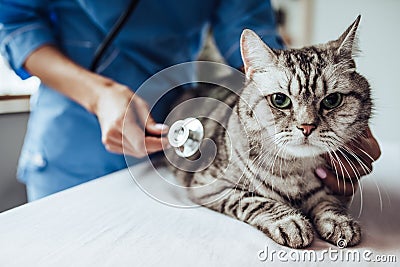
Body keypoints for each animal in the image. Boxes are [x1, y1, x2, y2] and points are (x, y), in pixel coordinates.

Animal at [167, 15, 370, 249]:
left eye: (332, 100)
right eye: (280, 100)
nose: (307, 126)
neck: (294, 170)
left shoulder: (329, 189)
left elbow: (329, 202)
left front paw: (340, 222)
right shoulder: (210, 186)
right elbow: (257, 201)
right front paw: (291, 221)